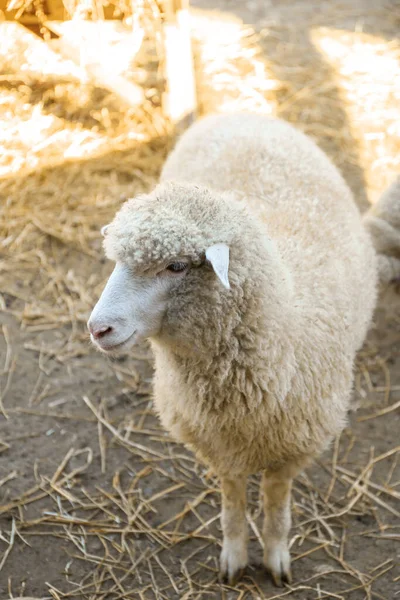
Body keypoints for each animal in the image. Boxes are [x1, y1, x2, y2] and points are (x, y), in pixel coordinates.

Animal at [87, 112, 384, 584]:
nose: (98, 329)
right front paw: (234, 556)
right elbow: (232, 498)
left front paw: (276, 556)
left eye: (176, 265)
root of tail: (238, 113)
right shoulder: (218, 445)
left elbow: (276, 501)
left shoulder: (293, 445)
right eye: (115, 261)